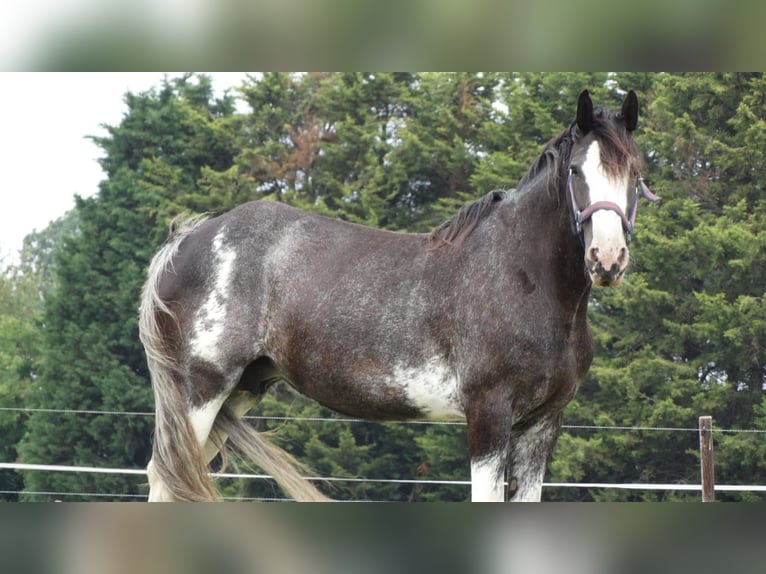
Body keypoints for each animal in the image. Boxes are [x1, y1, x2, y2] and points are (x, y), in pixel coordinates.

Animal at [140, 90, 660, 504]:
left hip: (238, 391)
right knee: (165, 477)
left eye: (635, 173)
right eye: (576, 171)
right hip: (199, 390)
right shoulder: (489, 414)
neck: (523, 276)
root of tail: (186, 241)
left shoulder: (542, 424)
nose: (607, 258)